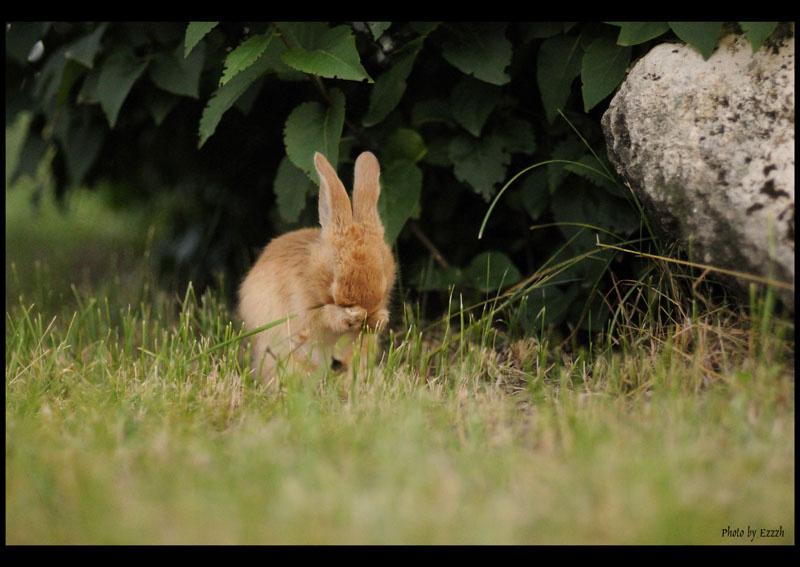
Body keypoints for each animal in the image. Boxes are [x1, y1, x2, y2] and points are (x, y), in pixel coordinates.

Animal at [237, 151, 396, 384]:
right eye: (333, 268)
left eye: (382, 262)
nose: (361, 302)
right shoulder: (301, 314)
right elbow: (321, 319)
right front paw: (351, 315)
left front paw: (378, 319)